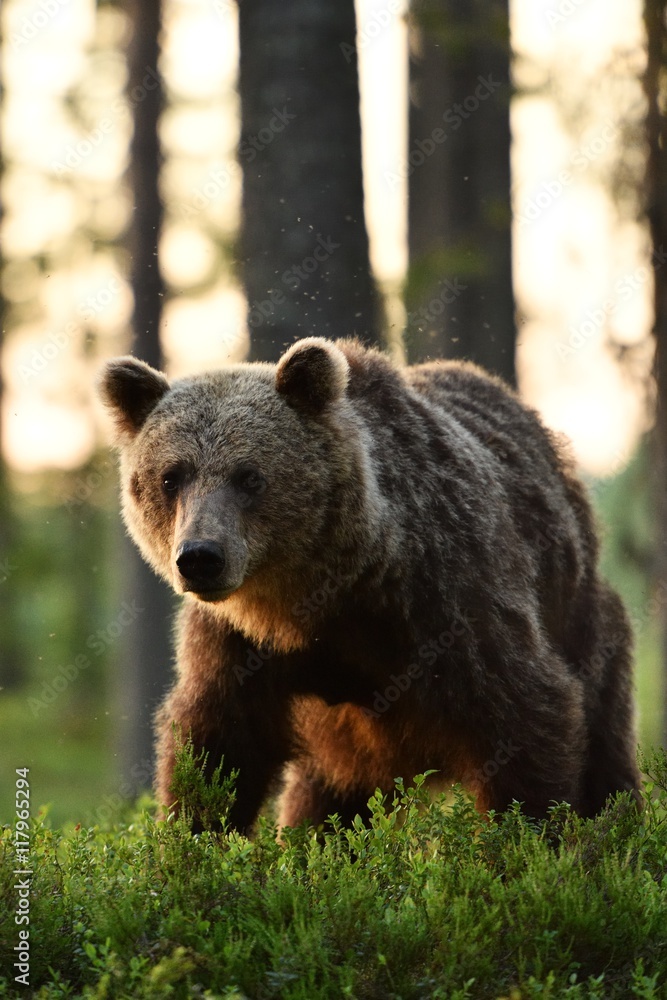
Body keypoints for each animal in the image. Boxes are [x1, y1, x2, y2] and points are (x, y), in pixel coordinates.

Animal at [98, 336, 640, 828]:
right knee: (327, 804)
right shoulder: (236, 643)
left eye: (249, 476)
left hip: (582, 619)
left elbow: (525, 716)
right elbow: (218, 746)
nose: (200, 558)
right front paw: (190, 841)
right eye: (171, 477)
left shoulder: (447, 598)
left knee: (605, 746)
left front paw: (529, 840)